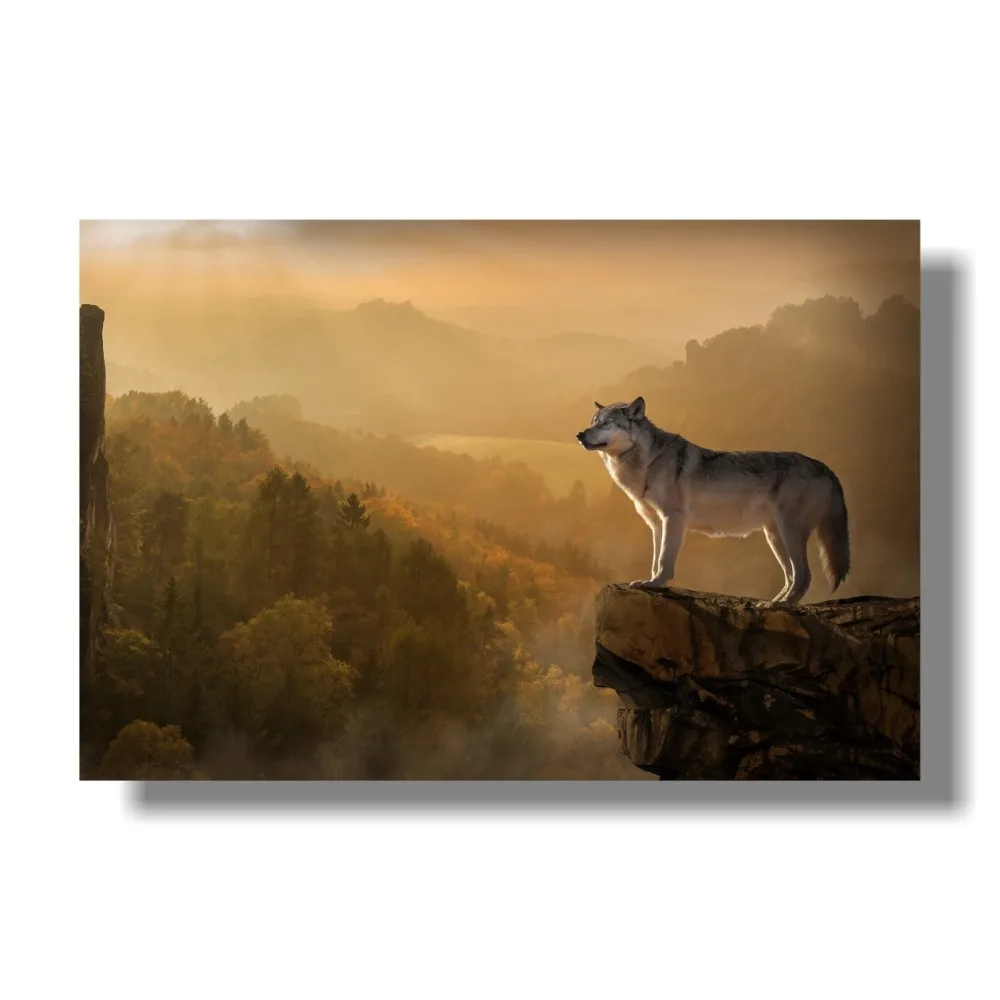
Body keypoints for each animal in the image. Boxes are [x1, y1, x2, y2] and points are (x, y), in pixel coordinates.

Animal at [576, 397, 850, 604]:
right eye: (593, 422)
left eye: (607, 423)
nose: (579, 434)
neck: (647, 462)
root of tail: (825, 467)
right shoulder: (656, 524)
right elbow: (655, 559)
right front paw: (651, 582)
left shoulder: (673, 518)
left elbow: (664, 559)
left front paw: (656, 583)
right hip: (774, 537)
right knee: (792, 576)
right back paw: (772, 603)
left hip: (788, 533)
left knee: (804, 575)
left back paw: (780, 606)